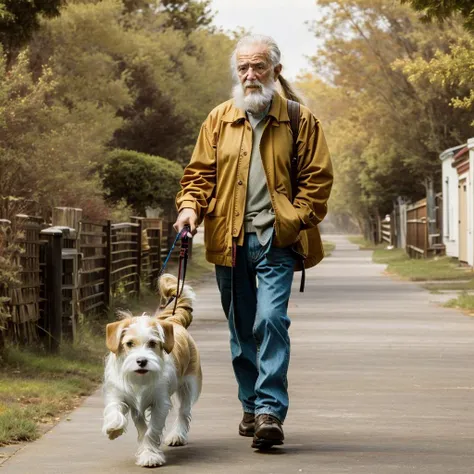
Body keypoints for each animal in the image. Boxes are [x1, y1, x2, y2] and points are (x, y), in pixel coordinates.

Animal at [102, 274, 202, 466]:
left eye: (152, 343)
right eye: (129, 344)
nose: (142, 361)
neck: (141, 380)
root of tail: (173, 321)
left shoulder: (160, 403)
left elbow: (151, 431)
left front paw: (150, 455)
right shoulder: (124, 397)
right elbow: (117, 410)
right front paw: (114, 427)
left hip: (188, 385)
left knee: (183, 412)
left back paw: (177, 435)